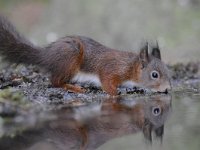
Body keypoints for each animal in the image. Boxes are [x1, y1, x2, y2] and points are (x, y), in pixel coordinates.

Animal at [0, 15, 170, 95]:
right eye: (154, 75)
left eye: (168, 71)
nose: (168, 88)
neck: (130, 66)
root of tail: (45, 54)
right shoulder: (112, 68)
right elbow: (106, 80)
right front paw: (115, 93)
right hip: (70, 58)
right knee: (55, 81)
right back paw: (73, 87)